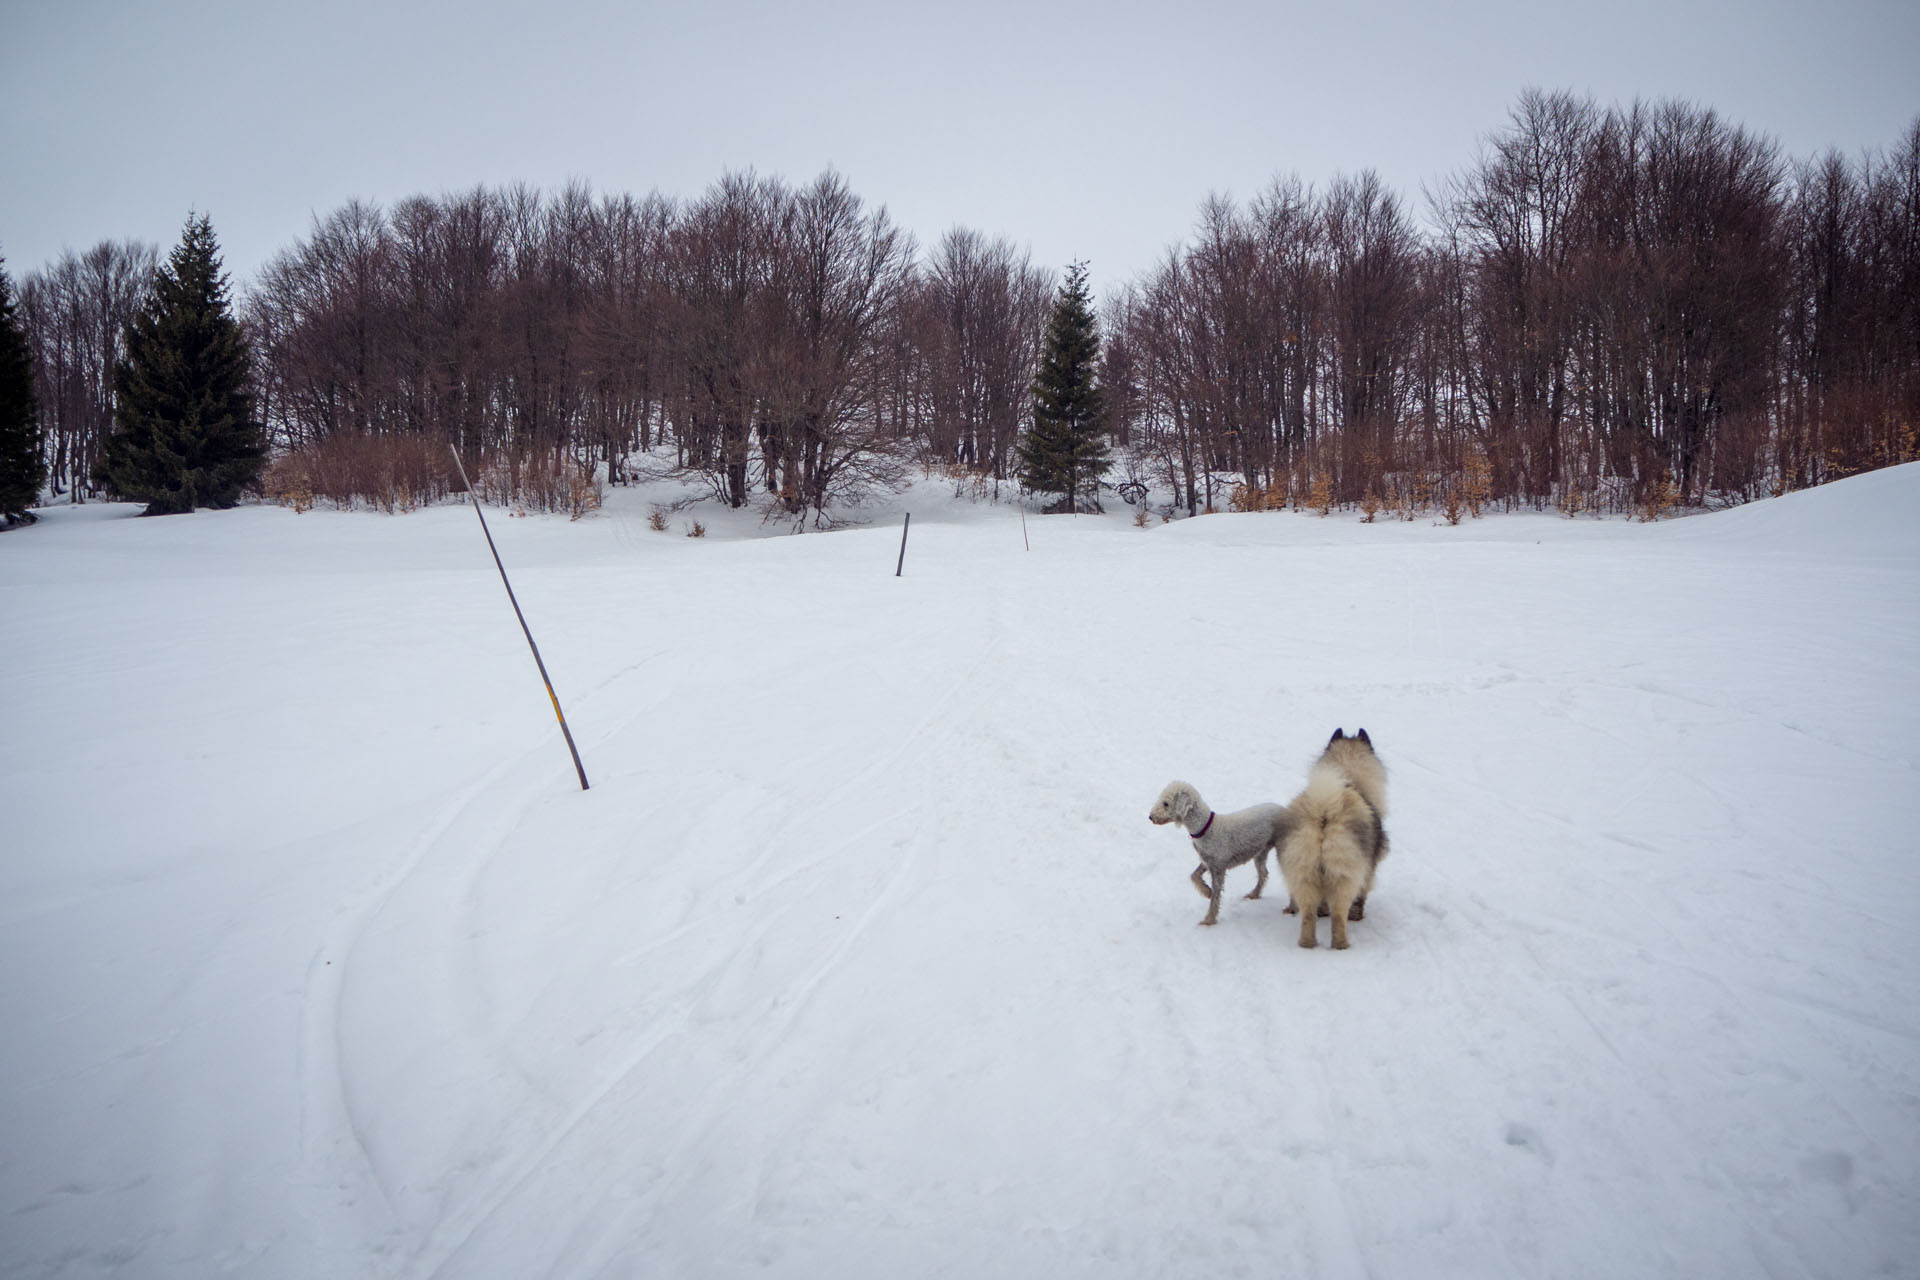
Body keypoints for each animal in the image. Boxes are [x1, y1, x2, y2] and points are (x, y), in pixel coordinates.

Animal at [1144, 782, 1297, 932]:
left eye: (1166, 803)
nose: (1150, 817)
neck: (1205, 828)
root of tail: (1286, 810)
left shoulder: (1218, 869)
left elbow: (1216, 898)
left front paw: (1209, 920)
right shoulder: (1208, 862)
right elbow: (1194, 876)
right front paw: (1207, 892)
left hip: (1283, 847)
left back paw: (1292, 908)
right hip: (1261, 850)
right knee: (1263, 873)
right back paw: (1254, 894)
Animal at [1282, 729, 1390, 951]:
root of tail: (1324, 811)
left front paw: (1323, 911)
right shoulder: (1368, 870)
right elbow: (1361, 896)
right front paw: (1357, 916)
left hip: (1303, 873)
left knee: (1308, 915)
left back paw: (1307, 944)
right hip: (1344, 877)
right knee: (1339, 916)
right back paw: (1342, 945)